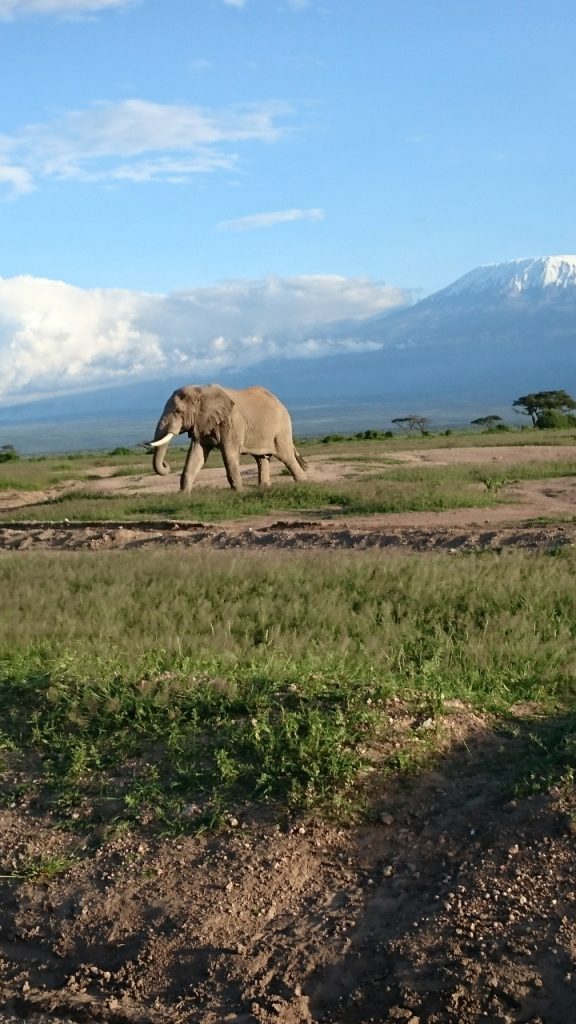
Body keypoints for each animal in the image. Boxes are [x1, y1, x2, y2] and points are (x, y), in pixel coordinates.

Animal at [148, 385, 309, 493]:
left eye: (178, 411)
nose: (166, 464)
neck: (201, 390)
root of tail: (280, 402)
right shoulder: (202, 423)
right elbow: (196, 455)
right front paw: (183, 495)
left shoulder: (232, 422)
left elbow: (228, 454)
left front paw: (238, 492)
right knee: (261, 459)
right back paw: (263, 487)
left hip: (281, 428)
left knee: (286, 456)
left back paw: (302, 483)